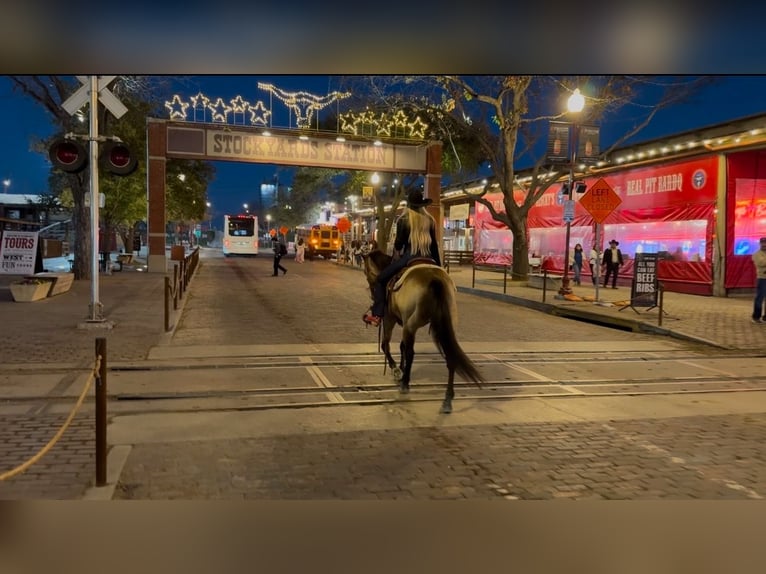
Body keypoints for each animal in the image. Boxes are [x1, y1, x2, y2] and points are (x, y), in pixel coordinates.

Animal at [362, 250, 484, 416]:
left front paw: (396, 370)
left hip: (410, 323)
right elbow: (401, 346)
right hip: (441, 324)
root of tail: (434, 279)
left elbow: (386, 345)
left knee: (410, 352)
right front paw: (401, 369)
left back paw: (405, 384)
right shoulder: (404, 322)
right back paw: (447, 400)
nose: (372, 294)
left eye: (365, 271)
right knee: (450, 356)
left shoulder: (390, 318)